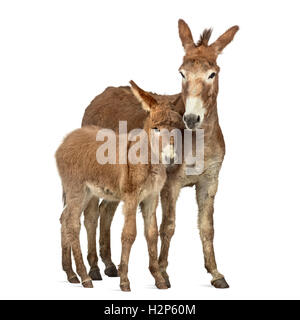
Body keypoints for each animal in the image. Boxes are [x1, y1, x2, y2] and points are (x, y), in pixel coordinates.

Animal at [55, 80, 184, 290]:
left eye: (177, 128)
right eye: (156, 128)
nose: (171, 158)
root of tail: (67, 138)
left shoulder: (151, 198)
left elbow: (152, 234)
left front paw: (159, 279)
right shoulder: (131, 198)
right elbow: (129, 234)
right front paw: (124, 281)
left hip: (86, 193)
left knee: (65, 219)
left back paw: (71, 273)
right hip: (76, 189)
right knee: (73, 224)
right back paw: (85, 277)